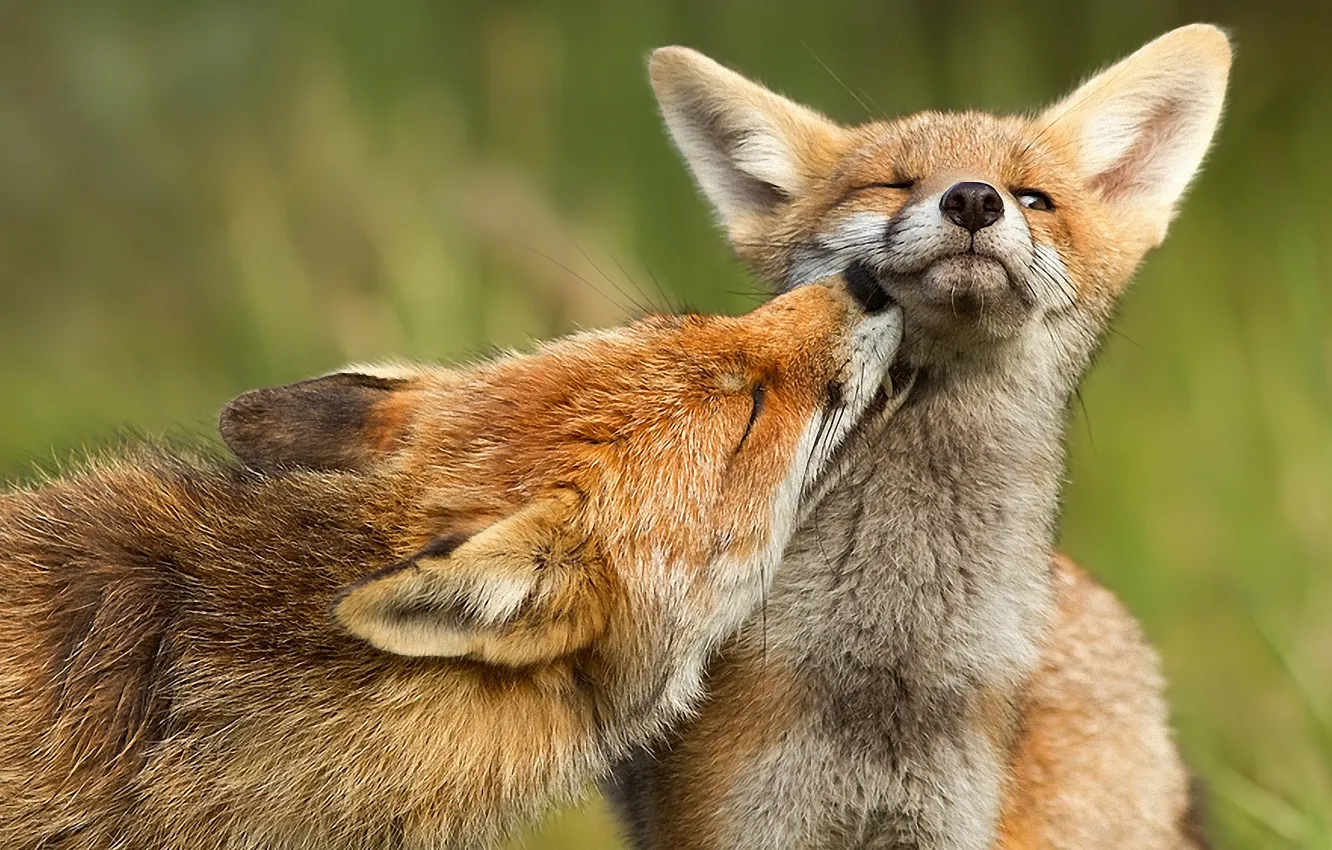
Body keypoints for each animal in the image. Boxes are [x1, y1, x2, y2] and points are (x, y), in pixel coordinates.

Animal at [609, 24, 1230, 850]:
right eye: (894, 185)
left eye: (1035, 199)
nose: (973, 198)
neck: (890, 664)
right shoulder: (738, 820)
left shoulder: (947, 823)